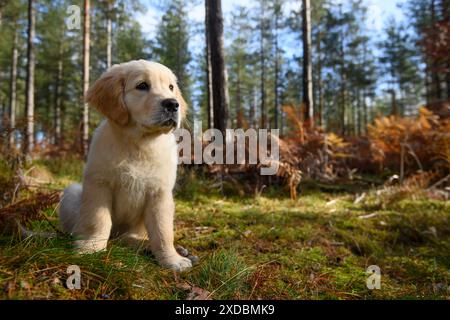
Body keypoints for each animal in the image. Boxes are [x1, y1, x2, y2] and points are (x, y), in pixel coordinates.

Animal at [58, 59, 192, 270]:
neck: (139, 144)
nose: (173, 104)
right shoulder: (99, 184)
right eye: (142, 86)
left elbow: (163, 232)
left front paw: (172, 259)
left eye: (171, 87)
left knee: (131, 237)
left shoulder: (160, 194)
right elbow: (98, 220)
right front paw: (90, 248)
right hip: (72, 194)